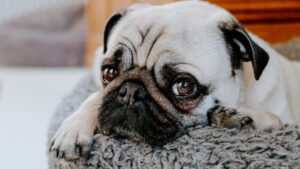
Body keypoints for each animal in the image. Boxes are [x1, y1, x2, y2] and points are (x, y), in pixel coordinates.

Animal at [48, 0, 298, 160]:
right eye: (109, 73)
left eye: (184, 86)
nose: (130, 91)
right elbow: (95, 98)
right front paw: (73, 129)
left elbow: (276, 119)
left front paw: (243, 116)